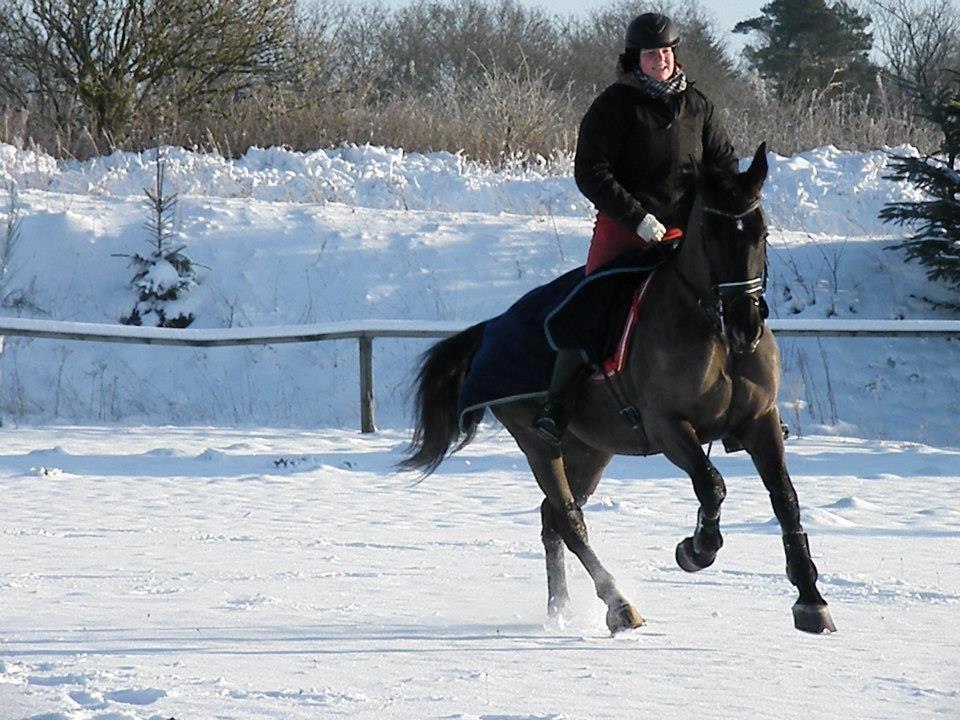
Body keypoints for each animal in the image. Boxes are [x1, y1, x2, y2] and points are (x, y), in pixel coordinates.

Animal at [402, 145, 836, 636]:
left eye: (760, 232)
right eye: (710, 231)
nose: (746, 325)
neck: (712, 329)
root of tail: (491, 327)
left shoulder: (761, 422)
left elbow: (786, 500)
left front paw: (811, 599)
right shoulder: (669, 427)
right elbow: (712, 485)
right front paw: (696, 548)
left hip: (591, 450)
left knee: (552, 518)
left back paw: (560, 609)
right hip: (538, 443)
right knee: (568, 520)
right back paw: (619, 604)